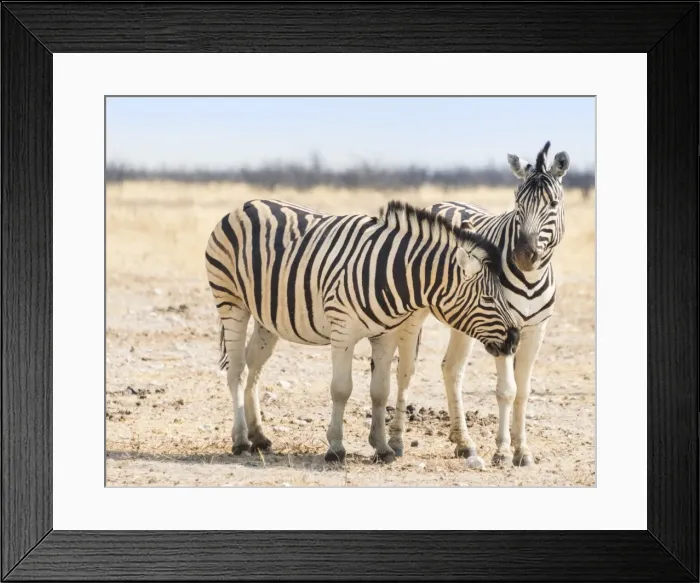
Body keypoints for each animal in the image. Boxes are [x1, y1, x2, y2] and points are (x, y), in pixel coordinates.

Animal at [204, 198, 521, 463]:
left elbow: (380, 391)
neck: (392, 274)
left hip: (267, 319)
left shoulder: (385, 335)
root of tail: (245, 205)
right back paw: (241, 441)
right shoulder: (343, 331)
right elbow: (341, 389)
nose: (515, 339)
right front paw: (335, 448)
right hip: (231, 303)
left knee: (254, 367)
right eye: (488, 298)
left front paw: (383, 448)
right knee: (237, 370)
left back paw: (259, 436)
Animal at [381, 141, 570, 468]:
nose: (524, 255)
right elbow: (507, 390)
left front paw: (523, 451)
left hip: (465, 320)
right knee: (406, 369)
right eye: (518, 205)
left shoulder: (535, 330)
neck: (531, 278)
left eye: (553, 205)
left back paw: (463, 442)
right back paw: (396, 440)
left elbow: (523, 391)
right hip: (417, 314)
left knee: (451, 369)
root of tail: (441, 203)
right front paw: (503, 452)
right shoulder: (505, 329)